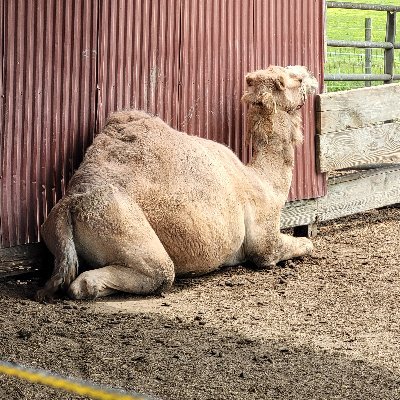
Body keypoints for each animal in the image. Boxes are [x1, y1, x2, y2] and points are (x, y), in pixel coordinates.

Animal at [36, 65, 318, 300]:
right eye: (296, 79)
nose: (312, 74)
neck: (263, 182)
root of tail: (67, 206)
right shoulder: (264, 241)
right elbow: (302, 245)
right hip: (117, 218)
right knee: (154, 272)